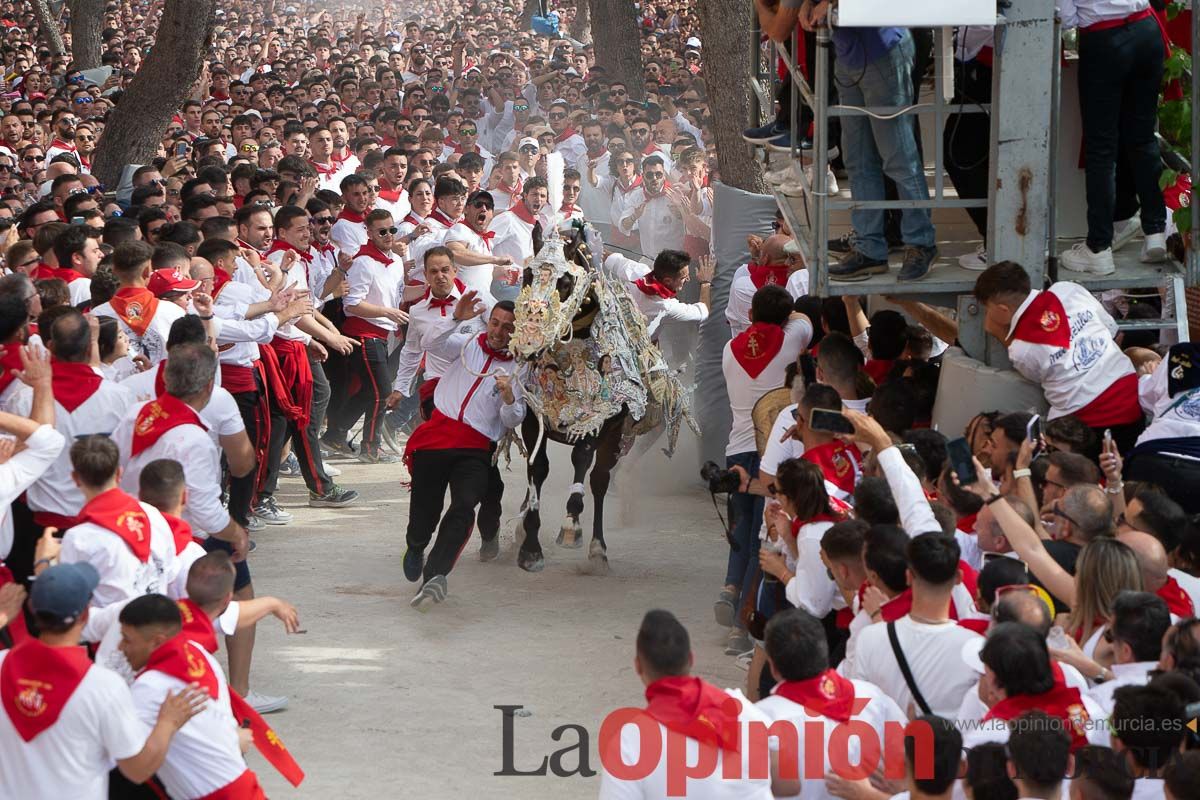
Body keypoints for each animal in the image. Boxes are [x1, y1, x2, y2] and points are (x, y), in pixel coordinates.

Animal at [504, 221, 696, 573]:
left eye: (565, 282)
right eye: (527, 274)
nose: (529, 344)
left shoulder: (601, 421)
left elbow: (584, 463)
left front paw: (571, 525)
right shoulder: (535, 420)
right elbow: (538, 468)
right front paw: (530, 548)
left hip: (620, 435)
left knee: (600, 479)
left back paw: (596, 547)